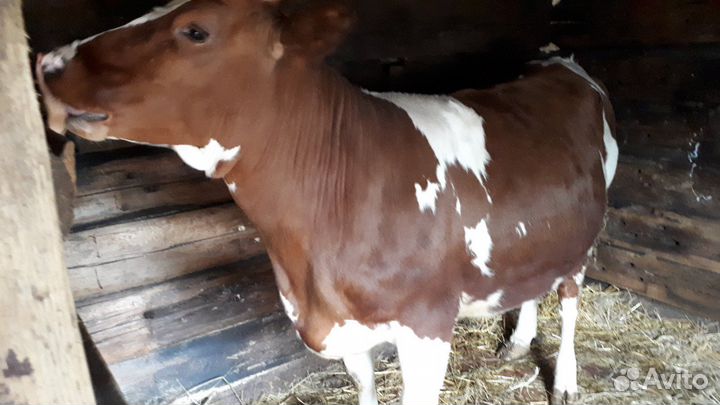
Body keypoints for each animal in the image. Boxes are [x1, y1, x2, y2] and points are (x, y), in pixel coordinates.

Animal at [36, 0, 619, 403]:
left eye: (195, 30)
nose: (48, 61)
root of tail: (559, 61)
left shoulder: (428, 325)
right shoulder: (341, 325)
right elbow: (363, 388)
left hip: (590, 226)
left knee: (570, 295)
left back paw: (565, 380)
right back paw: (518, 341)